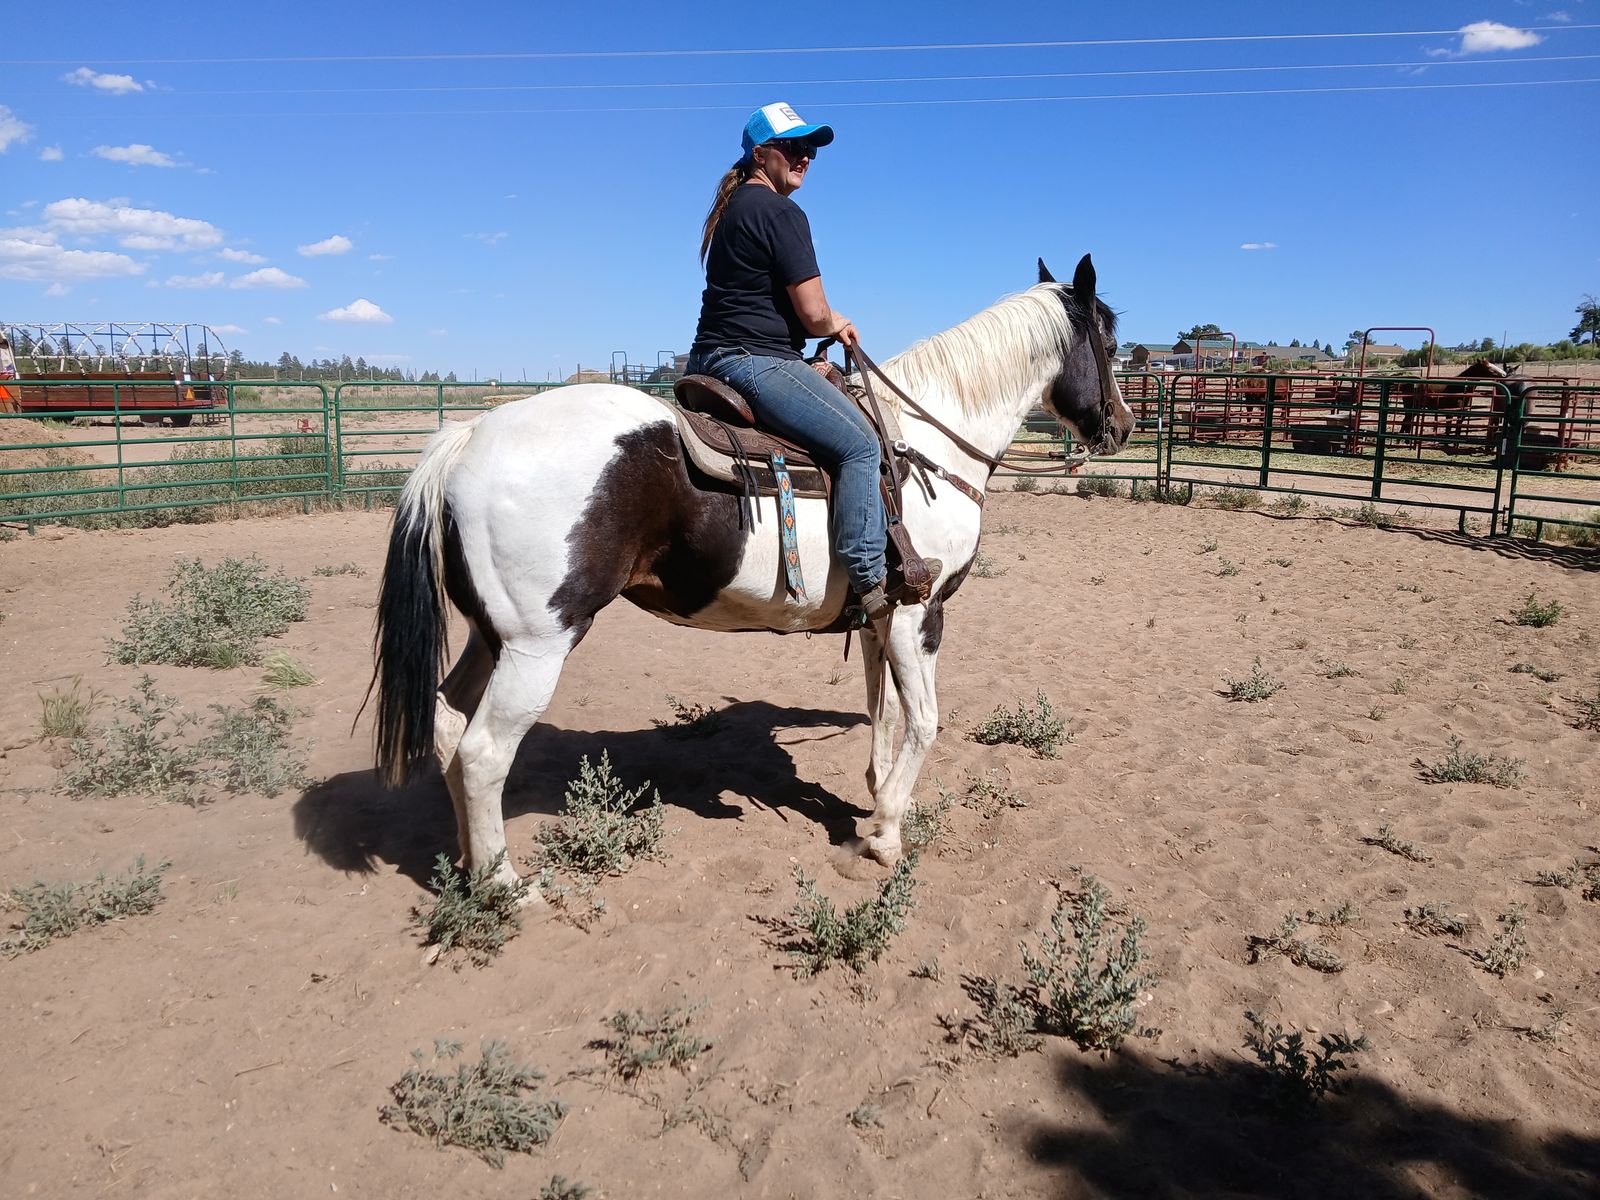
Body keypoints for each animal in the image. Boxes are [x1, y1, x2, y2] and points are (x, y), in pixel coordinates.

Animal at [370, 254, 1136, 899]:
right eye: (1107, 339)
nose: (1124, 426)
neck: (929, 446)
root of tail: (470, 436)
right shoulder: (921, 611)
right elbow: (923, 720)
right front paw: (884, 838)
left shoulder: (880, 615)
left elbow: (883, 713)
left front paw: (876, 799)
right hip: (539, 643)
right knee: (482, 752)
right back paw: (503, 886)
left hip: (491, 636)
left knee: (447, 724)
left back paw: (468, 864)